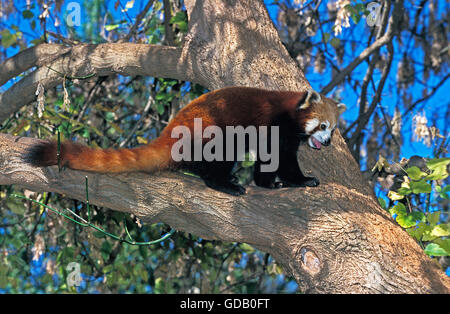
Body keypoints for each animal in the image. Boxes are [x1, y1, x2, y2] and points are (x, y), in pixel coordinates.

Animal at [24, 87, 346, 195]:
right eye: (322, 126)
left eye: (332, 130)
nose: (328, 142)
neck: (290, 111)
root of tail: (169, 131)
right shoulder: (274, 125)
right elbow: (276, 157)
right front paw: (299, 180)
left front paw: (270, 183)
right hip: (210, 130)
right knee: (219, 154)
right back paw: (223, 183)